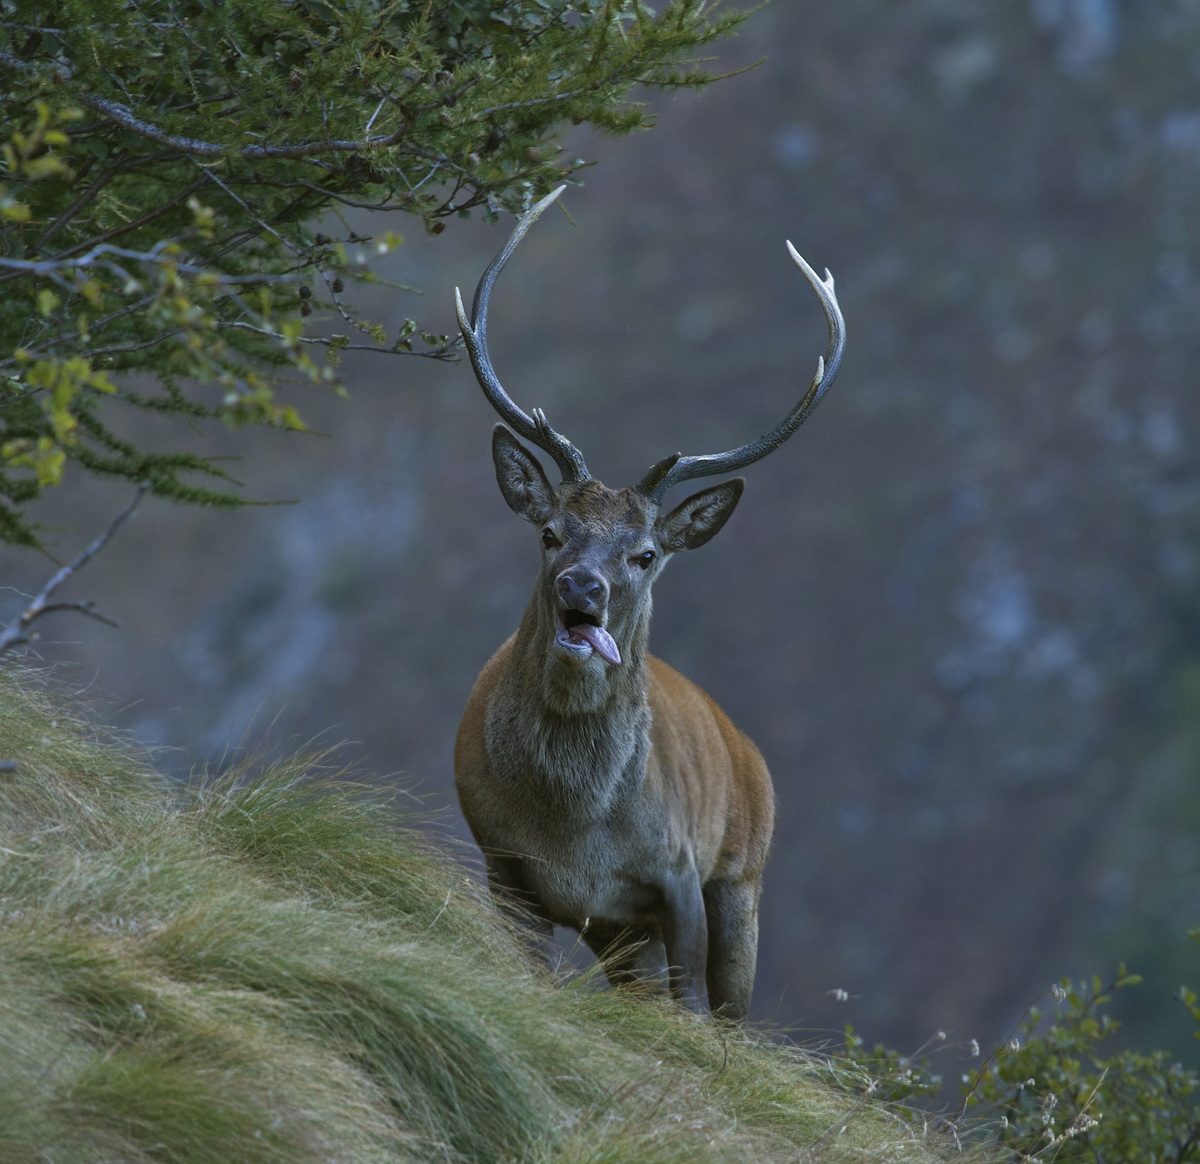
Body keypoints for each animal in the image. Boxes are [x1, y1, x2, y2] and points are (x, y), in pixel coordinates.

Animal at [453, 187, 844, 1020]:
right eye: (550, 532)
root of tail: (751, 754)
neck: (574, 832)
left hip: (743, 878)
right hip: (620, 933)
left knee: (732, 1017)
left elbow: (688, 1008)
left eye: (646, 554)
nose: (581, 587)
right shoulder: (504, 865)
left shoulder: (679, 873)